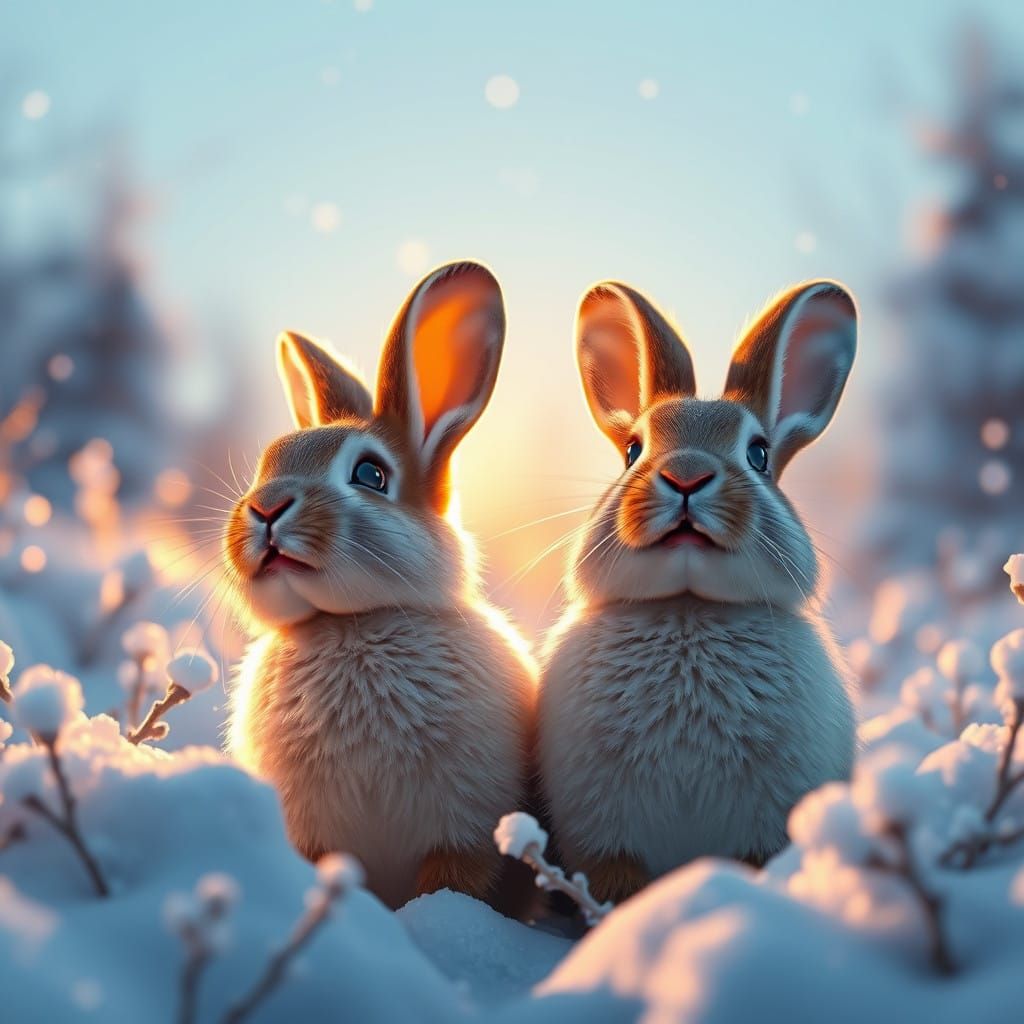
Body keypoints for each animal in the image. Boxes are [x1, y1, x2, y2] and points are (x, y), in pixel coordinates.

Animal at [224, 261, 535, 910]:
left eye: (371, 475)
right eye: (268, 463)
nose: (265, 509)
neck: (353, 624)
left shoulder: (463, 833)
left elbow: (452, 886)